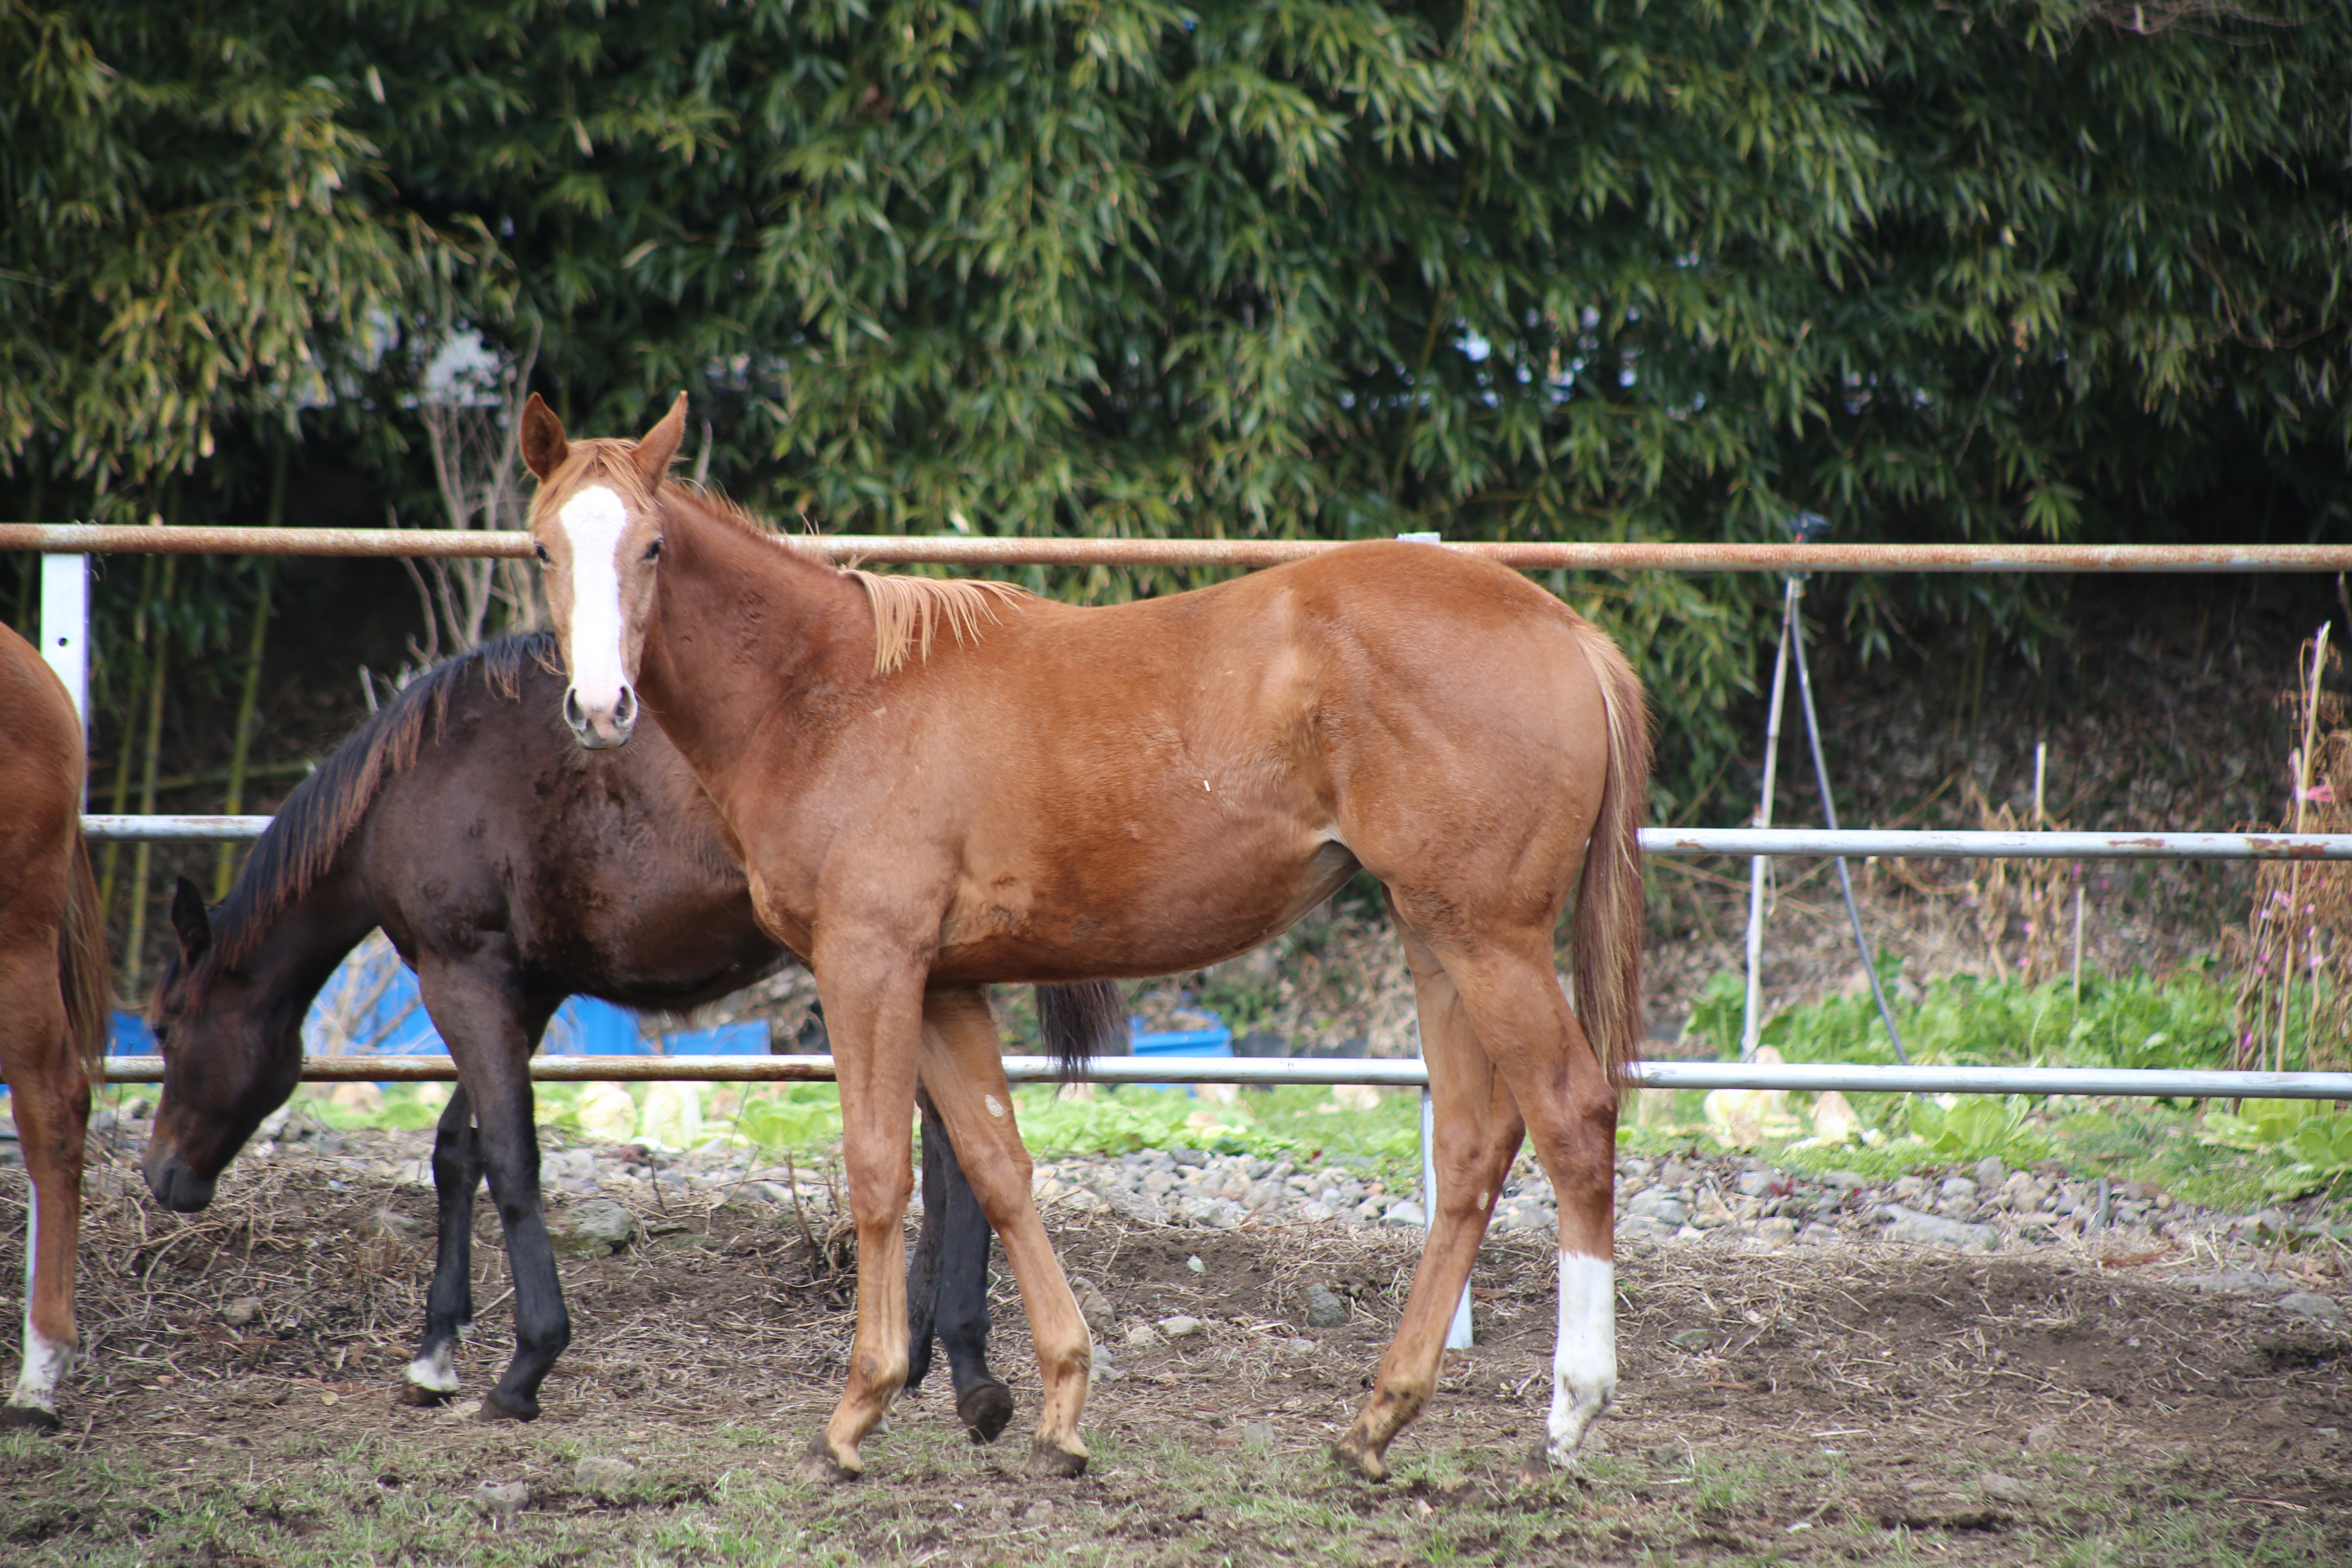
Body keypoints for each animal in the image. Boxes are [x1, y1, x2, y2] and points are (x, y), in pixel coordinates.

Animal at [142, 639, 1124, 1439]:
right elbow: (459, 1151)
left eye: (164, 1024)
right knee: (961, 1141)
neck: (419, 780)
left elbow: (511, 1161)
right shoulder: (520, 990)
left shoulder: (464, 979)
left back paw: (960, 1365)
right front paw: (436, 1351)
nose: (162, 1177)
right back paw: (941, 1363)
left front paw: (526, 1364)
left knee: (955, 1147)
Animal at [519, 395, 1656, 1486]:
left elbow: (880, 1172)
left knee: (1571, 1115)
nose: (598, 708)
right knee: (1470, 1149)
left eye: (652, 545)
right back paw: (1376, 1423)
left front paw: (857, 1412)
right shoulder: (945, 987)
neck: (827, 692)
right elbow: (999, 1169)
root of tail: (1564, 629)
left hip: (1489, 940)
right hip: (1436, 940)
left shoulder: (868, 966)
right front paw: (1061, 1409)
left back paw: (1572, 1412)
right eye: (542, 547)